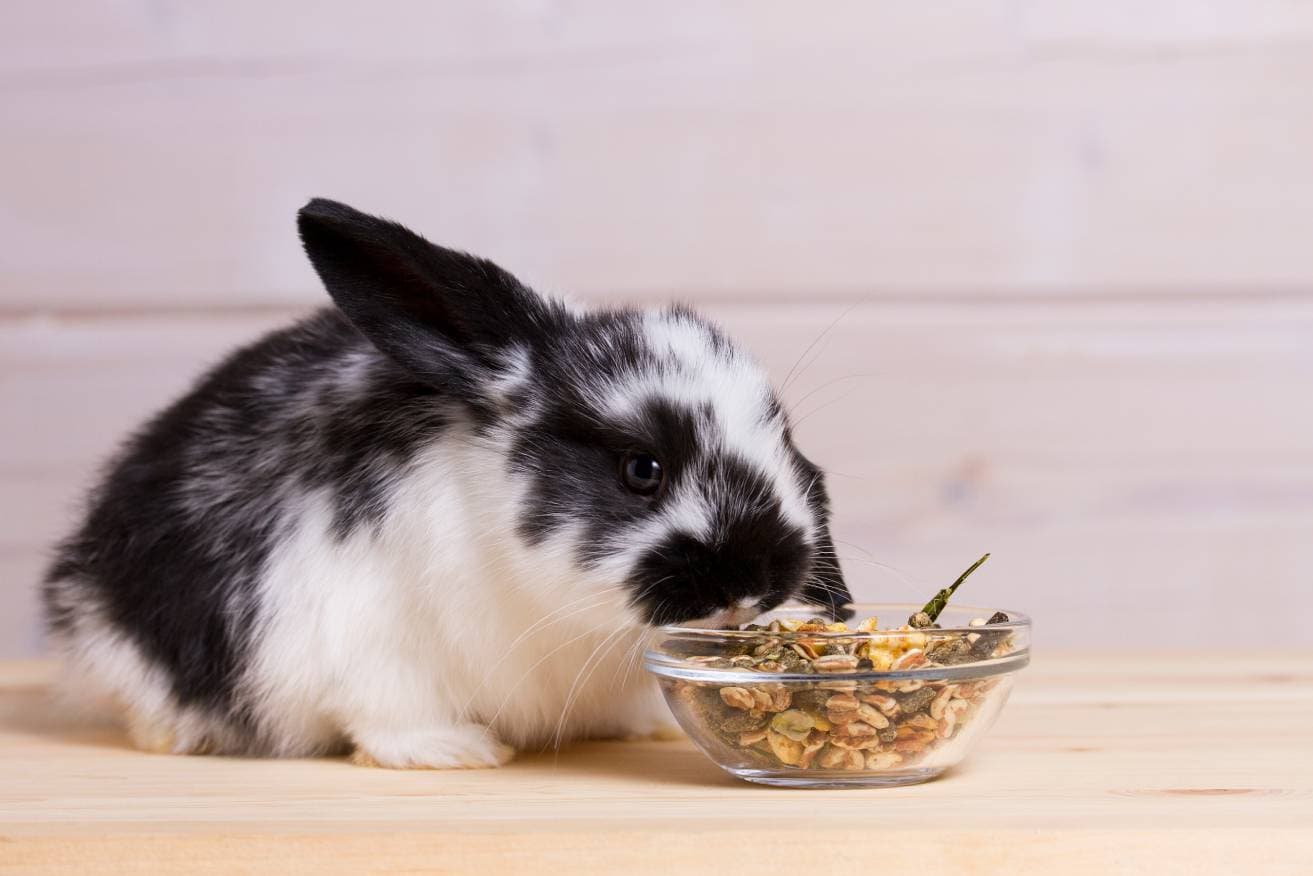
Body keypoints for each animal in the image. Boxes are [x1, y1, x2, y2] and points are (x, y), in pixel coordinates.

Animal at [41, 198, 852, 769]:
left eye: (785, 437)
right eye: (641, 469)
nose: (757, 583)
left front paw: (644, 727)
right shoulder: (359, 637)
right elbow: (388, 716)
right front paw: (457, 752)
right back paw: (181, 736)